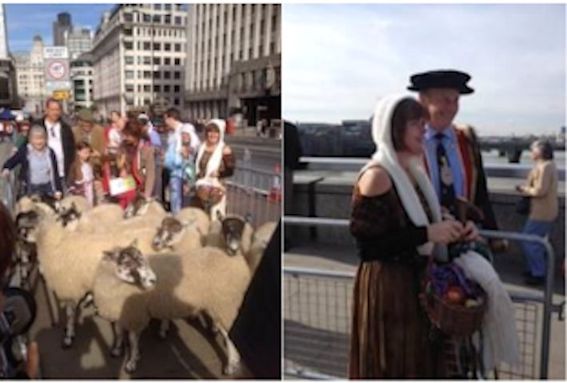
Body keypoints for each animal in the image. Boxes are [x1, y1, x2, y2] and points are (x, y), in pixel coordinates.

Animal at [92, 246, 251, 376]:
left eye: (142, 259)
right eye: (127, 262)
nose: (153, 280)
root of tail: (239, 261)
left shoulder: (136, 313)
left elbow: (132, 340)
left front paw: (132, 362)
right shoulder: (118, 311)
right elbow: (119, 333)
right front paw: (117, 350)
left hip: (224, 301)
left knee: (229, 335)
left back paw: (231, 365)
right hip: (217, 302)